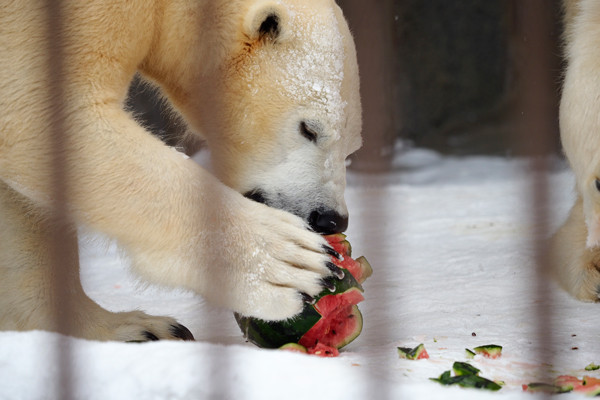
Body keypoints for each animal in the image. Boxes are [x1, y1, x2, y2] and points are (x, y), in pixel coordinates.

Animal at [0, 0, 360, 340]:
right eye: (308, 129)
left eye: (351, 147)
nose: (330, 218)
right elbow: (39, 110)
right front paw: (293, 266)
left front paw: (133, 329)